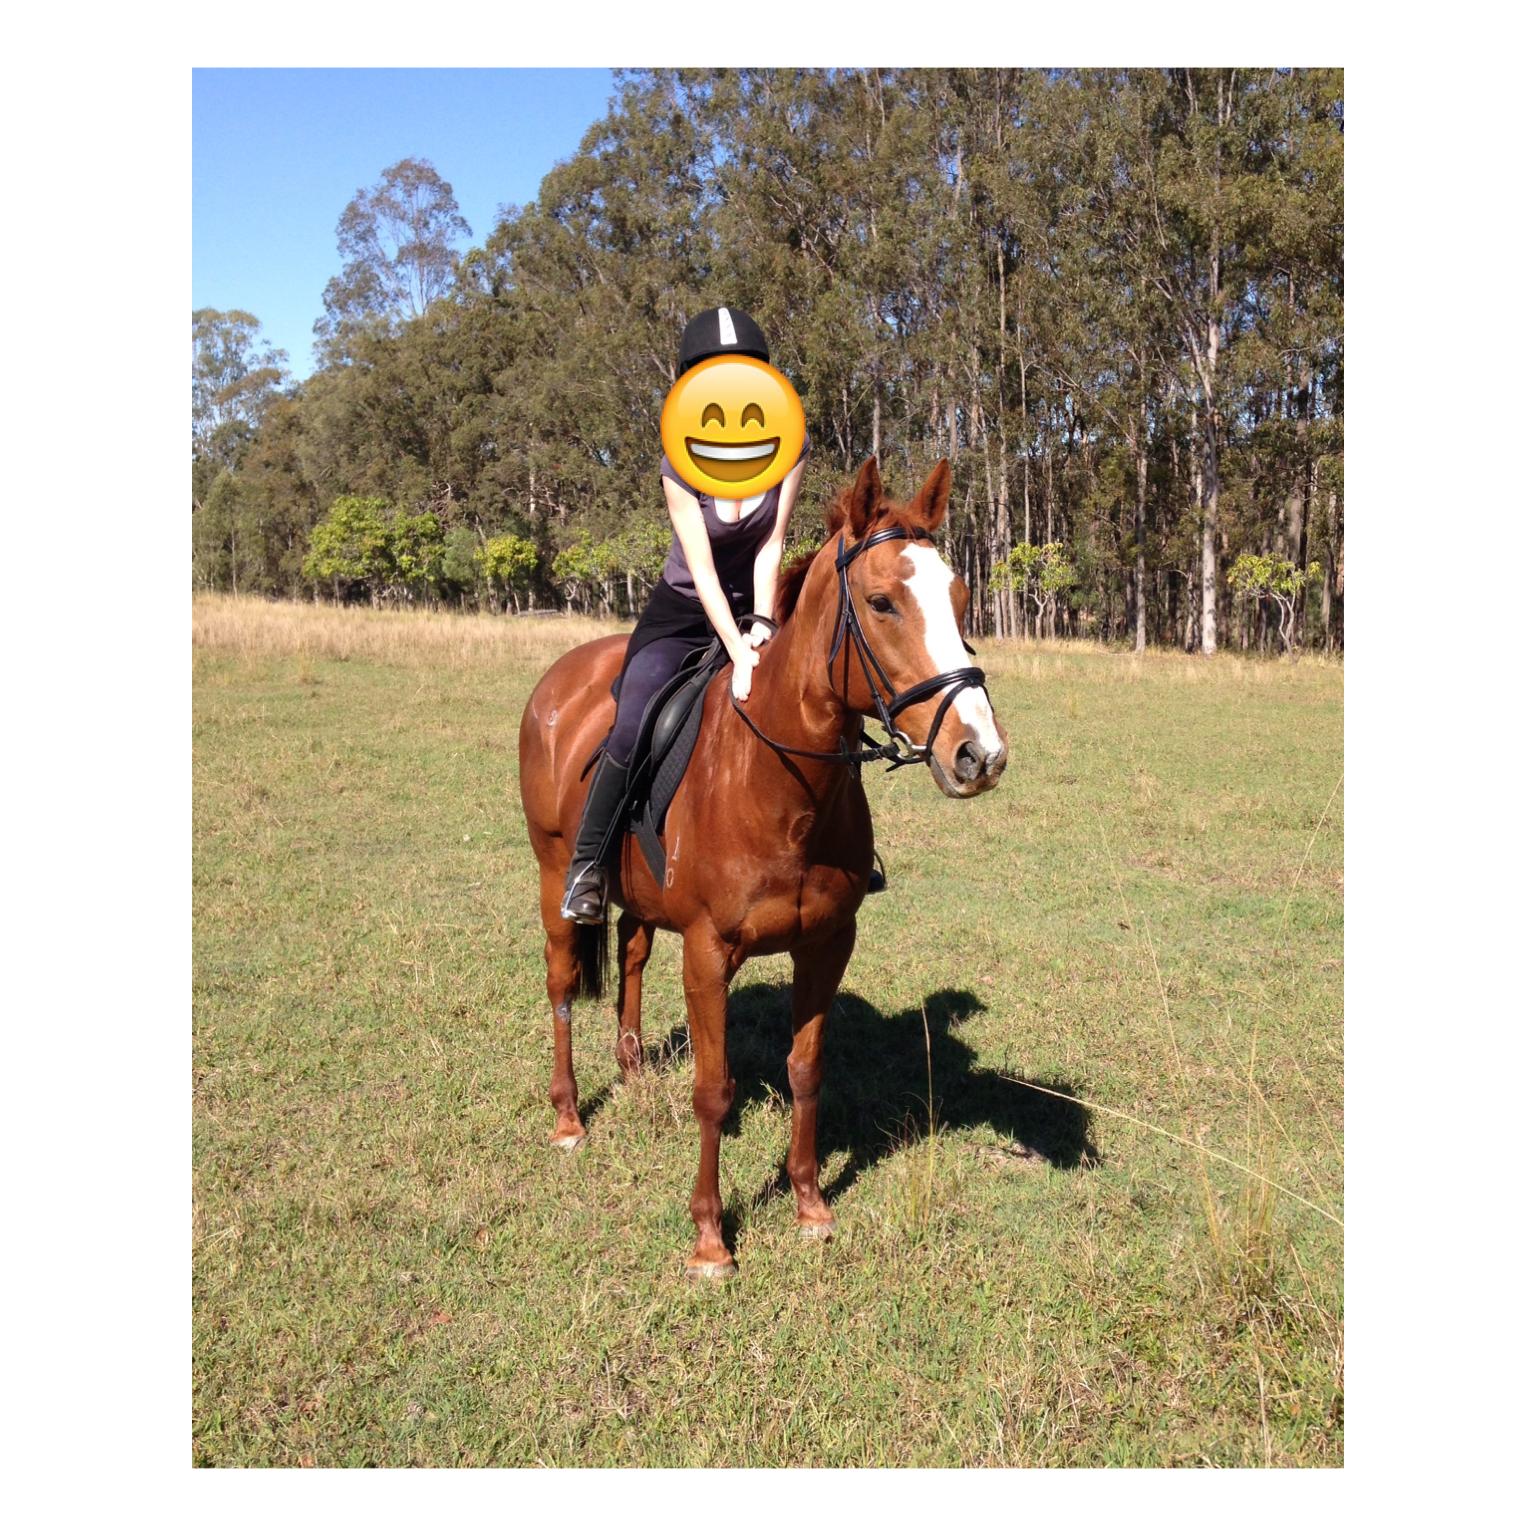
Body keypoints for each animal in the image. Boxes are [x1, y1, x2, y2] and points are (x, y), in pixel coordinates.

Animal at [517, 457, 1009, 1277]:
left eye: (961, 598)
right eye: (881, 603)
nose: (980, 754)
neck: (783, 785)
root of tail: (561, 677)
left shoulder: (827, 945)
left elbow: (806, 1071)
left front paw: (809, 1204)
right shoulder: (709, 954)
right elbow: (713, 1090)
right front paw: (711, 1239)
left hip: (641, 903)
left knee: (632, 956)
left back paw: (632, 1072)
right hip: (556, 873)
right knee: (560, 984)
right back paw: (567, 1117)